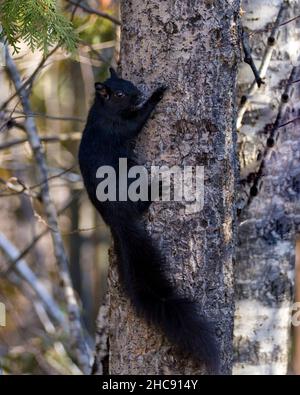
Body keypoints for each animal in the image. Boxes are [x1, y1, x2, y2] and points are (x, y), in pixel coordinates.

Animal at [78, 69, 218, 374]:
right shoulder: (119, 127)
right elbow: (139, 120)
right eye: (119, 93)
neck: (103, 110)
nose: (139, 92)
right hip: (131, 174)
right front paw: (157, 95)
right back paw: (159, 188)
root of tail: (116, 219)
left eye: (128, 82)